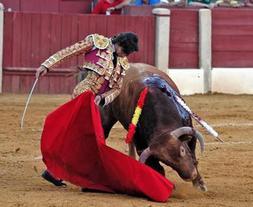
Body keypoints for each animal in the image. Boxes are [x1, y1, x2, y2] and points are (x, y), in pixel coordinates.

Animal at [100, 62, 208, 191]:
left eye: (182, 150)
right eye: (167, 162)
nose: (190, 176)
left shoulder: (190, 131)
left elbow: (193, 156)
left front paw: (200, 184)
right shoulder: (142, 146)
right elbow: (158, 168)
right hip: (107, 117)